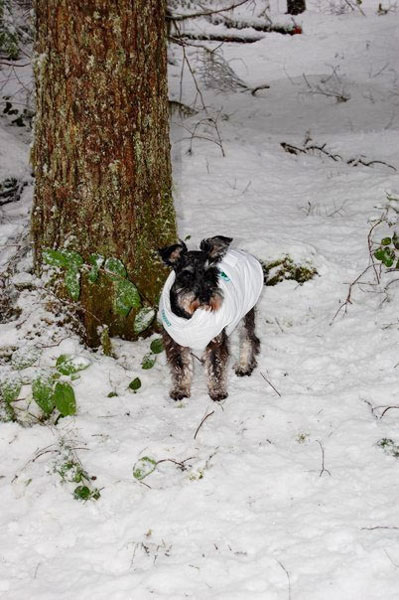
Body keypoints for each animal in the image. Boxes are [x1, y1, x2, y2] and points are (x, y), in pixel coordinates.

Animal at [159, 237, 266, 400]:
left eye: (211, 273)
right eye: (187, 275)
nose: (205, 297)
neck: (190, 317)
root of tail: (246, 254)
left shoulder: (215, 340)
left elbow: (215, 367)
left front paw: (217, 391)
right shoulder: (174, 342)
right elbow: (180, 367)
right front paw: (180, 389)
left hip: (246, 313)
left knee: (249, 339)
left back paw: (244, 365)